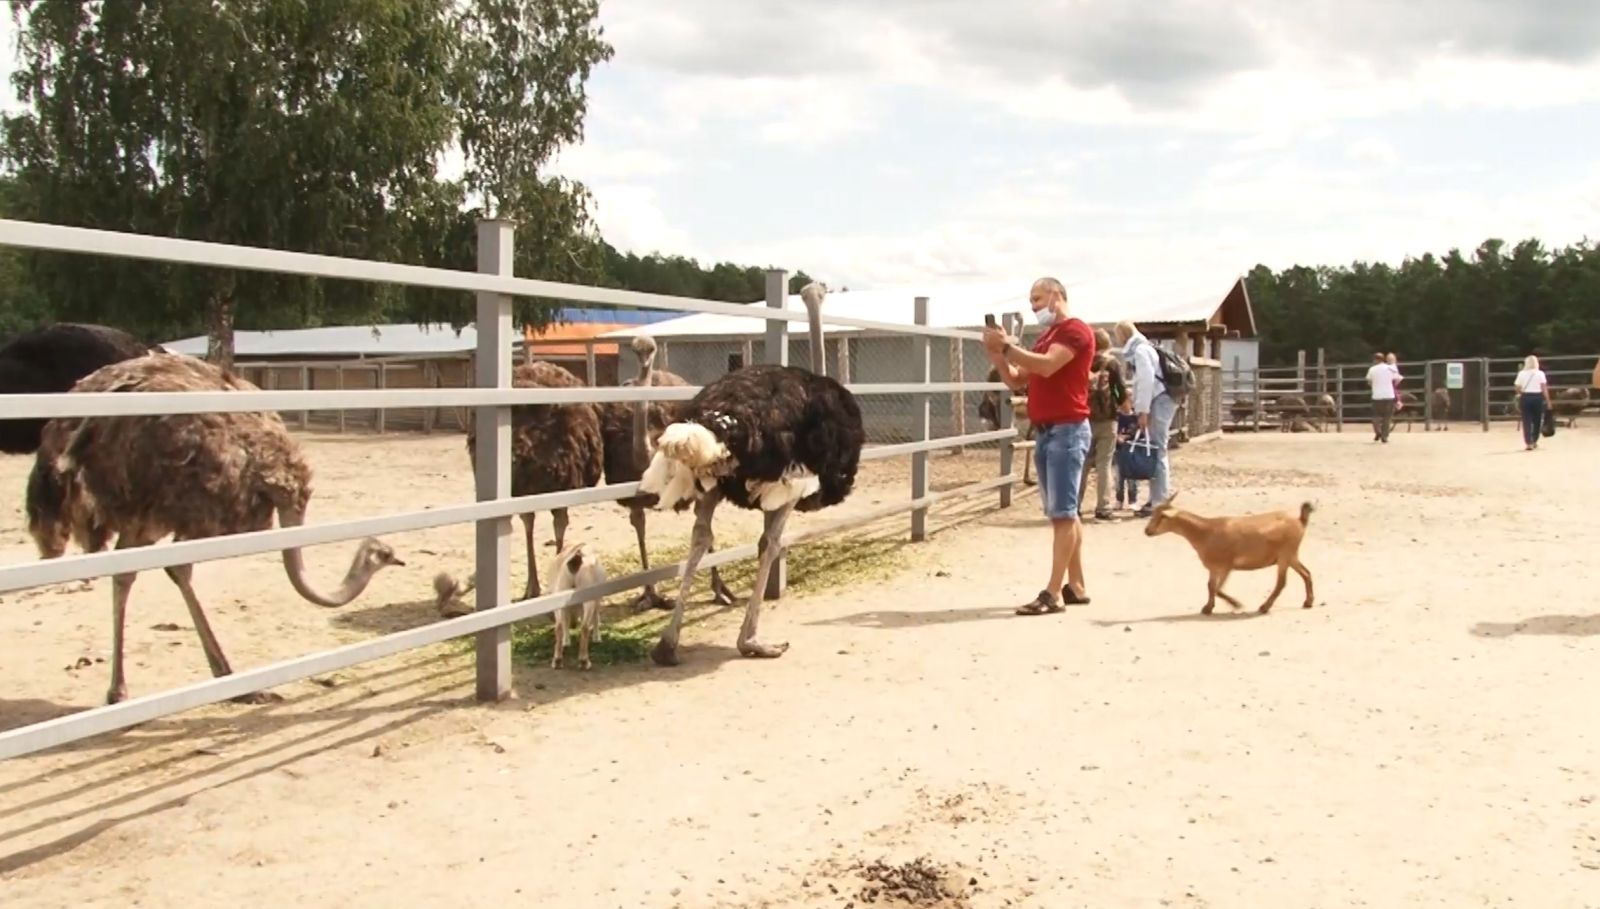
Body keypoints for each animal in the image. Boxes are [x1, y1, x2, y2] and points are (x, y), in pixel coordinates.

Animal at [544, 544, 604, 672]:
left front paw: (566, 642)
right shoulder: (596, 598)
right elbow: (596, 616)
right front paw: (597, 638)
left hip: (560, 596)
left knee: (559, 626)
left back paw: (557, 660)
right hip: (588, 598)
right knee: (585, 627)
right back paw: (584, 661)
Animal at [1145, 489, 1318, 617]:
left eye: (1162, 516)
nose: (1147, 531)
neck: (1206, 532)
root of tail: (1300, 520)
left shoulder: (1226, 565)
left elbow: (1217, 589)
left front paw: (1236, 604)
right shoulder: (1214, 568)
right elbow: (1210, 586)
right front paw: (1207, 608)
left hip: (1285, 555)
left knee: (1281, 583)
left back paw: (1264, 607)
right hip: (1291, 555)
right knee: (1306, 573)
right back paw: (1308, 602)